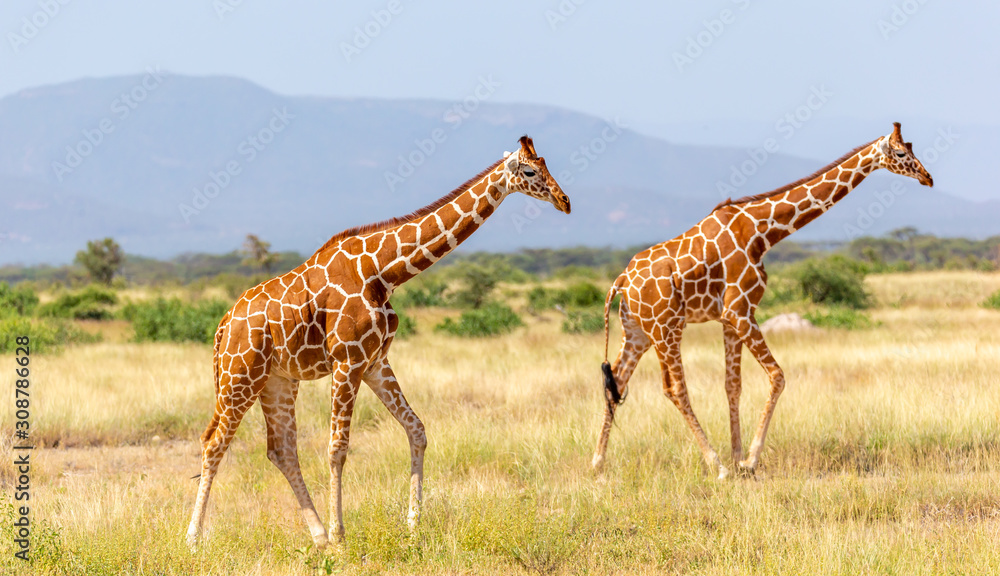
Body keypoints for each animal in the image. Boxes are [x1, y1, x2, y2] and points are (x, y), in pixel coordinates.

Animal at [186, 136, 571, 547]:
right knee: (214, 442)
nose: (564, 200)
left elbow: (416, 429)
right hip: (239, 376)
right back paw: (194, 537)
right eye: (529, 171)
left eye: (545, 164)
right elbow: (337, 448)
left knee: (281, 450)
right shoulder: (348, 360)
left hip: (277, 380)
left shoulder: (374, 361)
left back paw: (317, 536)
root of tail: (223, 326)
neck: (385, 271)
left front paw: (413, 523)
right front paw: (341, 535)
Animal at [591, 122, 933, 479]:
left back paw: (598, 463)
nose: (927, 177)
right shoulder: (740, 310)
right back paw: (715, 465)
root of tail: (620, 282)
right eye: (900, 153)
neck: (761, 232)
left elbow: (733, 385)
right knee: (674, 389)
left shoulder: (729, 318)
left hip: (637, 331)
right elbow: (777, 376)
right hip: (666, 328)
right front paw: (749, 461)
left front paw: (738, 456)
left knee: (616, 382)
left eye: (911, 147)